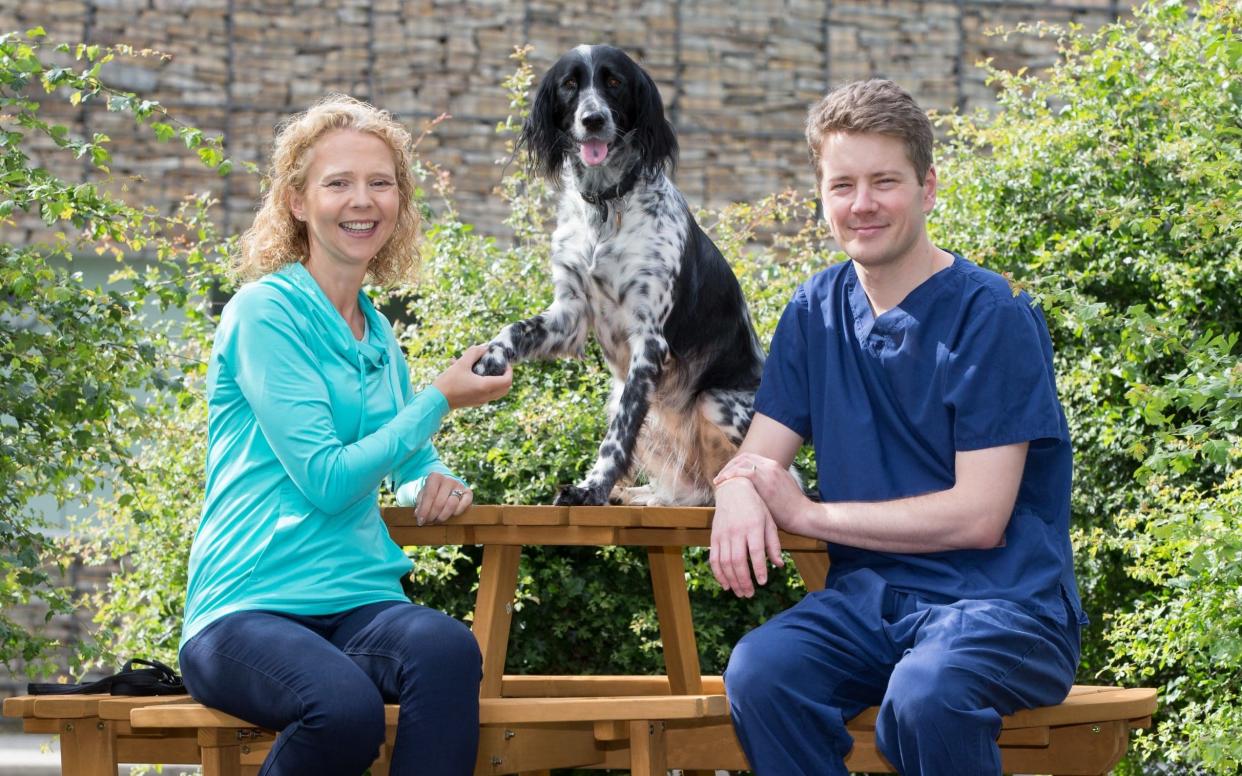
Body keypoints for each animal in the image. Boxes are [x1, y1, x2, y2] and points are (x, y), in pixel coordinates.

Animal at [474, 46, 765, 509]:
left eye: (614, 82)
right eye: (569, 85)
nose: (593, 119)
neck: (606, 208)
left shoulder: (649, 340)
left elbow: (618, 436)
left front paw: (592, 488)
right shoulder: (569, 314)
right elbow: (515, 328)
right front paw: (491, 358)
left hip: (715, 401)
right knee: (688, 491)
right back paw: (640, 496)